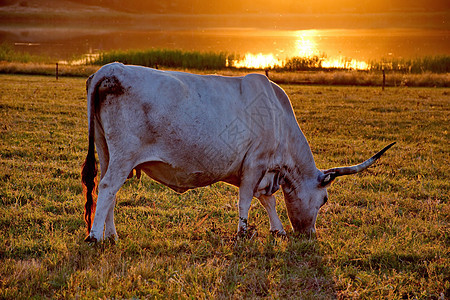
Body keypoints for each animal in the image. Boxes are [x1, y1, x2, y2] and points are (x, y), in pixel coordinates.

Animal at [81, 62, 394, 241]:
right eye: (325, 199)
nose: (310, 235)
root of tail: (111, 68)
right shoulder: (255, 163)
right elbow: (246, 200)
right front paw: (243, 233)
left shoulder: (261, 171)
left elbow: (267, 200)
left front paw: (278, 229)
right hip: (123, 156)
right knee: (107, 187)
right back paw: (95, 236)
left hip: (107, 152)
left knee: (109, 190)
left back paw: (112, 235)